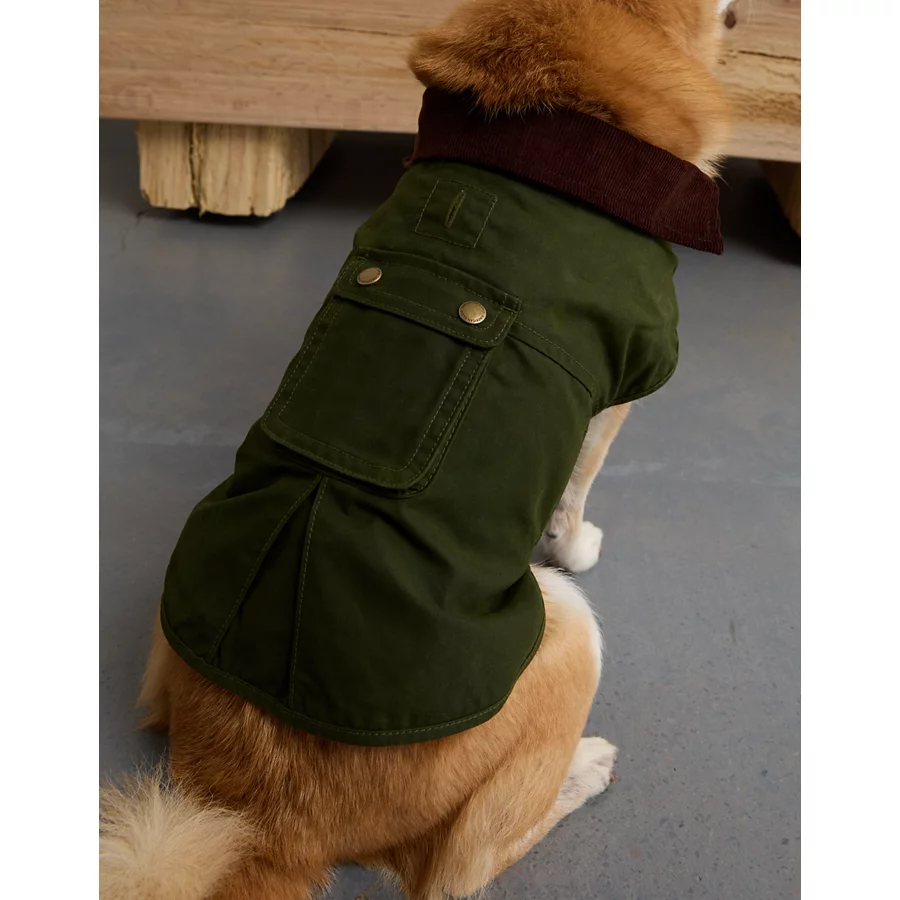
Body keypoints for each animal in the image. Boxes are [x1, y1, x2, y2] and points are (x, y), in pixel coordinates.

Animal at [100, 2, 730, 898]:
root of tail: (261, 812)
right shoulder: (622, 389)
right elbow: (577, 492)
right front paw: (577, 540)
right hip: (569, 631)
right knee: (456, 868)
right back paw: (582, 770)